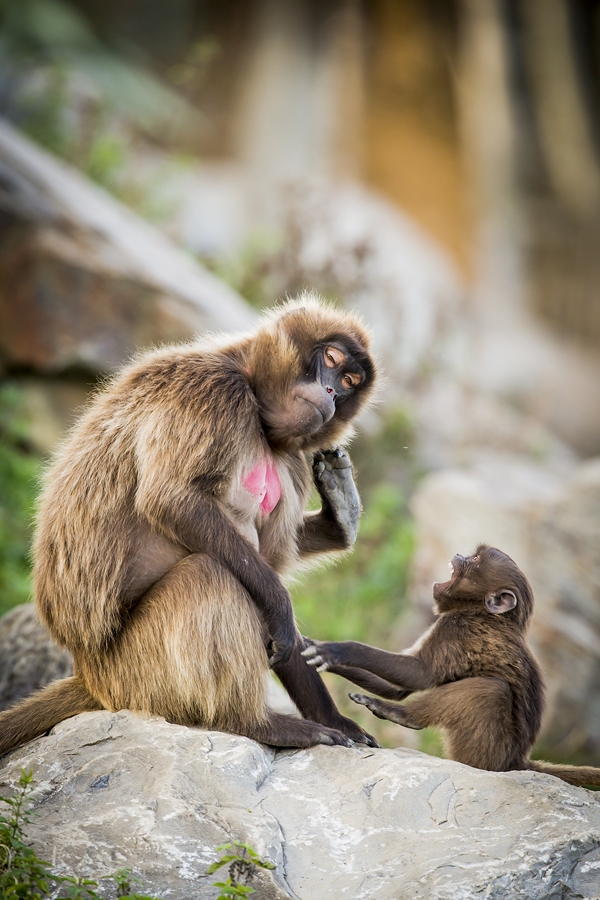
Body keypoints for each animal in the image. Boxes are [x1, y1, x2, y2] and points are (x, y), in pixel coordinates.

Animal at [0, 294, 378, 752]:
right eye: (332, 358)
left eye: (350, 380)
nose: (330, 391)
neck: (254, 403)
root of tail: (88, 673)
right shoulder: (211, 391)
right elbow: (173, 502)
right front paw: (281, 607)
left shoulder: (290, 460)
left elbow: (269, 568)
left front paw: (335, 718)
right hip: (136, 675)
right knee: (210, 573)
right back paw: (254, 723)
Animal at [302, 544, 600, 784]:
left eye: (475, 560)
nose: (459, 554)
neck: (481, 611)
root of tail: (515, 762)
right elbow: (399, 688)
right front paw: (308, 646)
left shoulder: (456, 627)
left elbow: (418, 676)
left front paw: (337, 651)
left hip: (488, 753)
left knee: (490, 690)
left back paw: (403, 715)